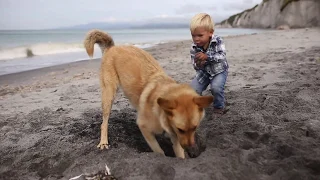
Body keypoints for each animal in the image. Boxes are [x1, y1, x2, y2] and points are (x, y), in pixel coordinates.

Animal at [84, 29, 212, 159]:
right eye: (180, 129)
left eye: (195, 128)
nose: (190, 150)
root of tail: (112, 47)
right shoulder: (144, 127)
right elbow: (159, 151)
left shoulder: (175, 138)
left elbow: (179, 154)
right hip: (109, 95)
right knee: (104, 123)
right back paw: (103, 142)